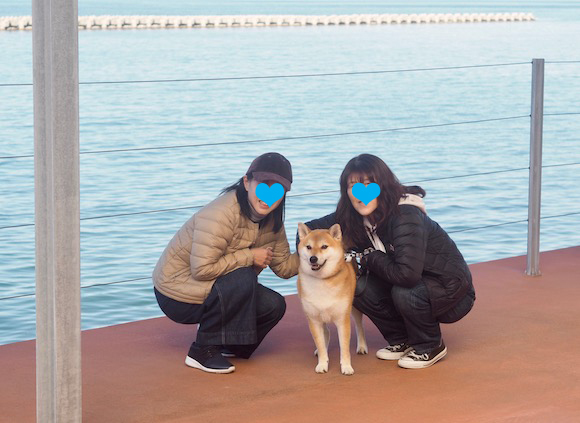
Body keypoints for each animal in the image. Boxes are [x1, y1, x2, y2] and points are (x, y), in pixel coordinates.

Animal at [300, 224, 368, 376]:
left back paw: (362, 346)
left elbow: (344, 348)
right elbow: (320, 344)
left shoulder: (342, 320)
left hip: (354, 308)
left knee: (359, 326)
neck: (322, 281)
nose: (313, 258)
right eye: (308, 247)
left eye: (324, 246)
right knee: (326, 333)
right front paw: (322, 363)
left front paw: (346, 366)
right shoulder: (313, 320)